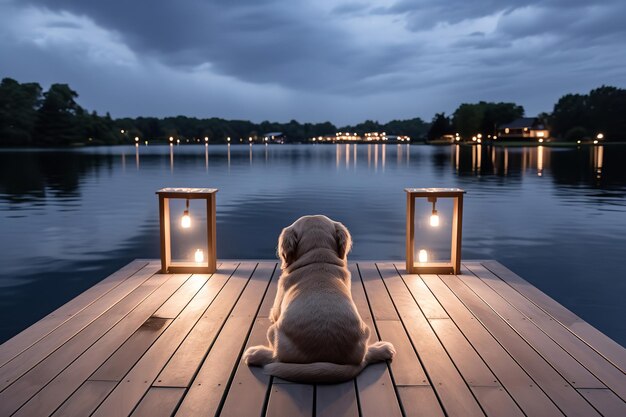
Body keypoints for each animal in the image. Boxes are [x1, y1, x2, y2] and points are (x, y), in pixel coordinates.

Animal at [241, 216, 392, 382]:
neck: (318, 259)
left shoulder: (277, 307)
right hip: (365, 334)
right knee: (366, 356)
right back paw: (383, 348)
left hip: (273, 332)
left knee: (275, 357)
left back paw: (255, 354)